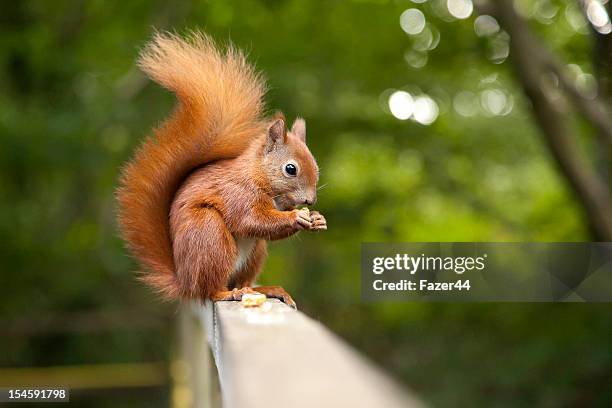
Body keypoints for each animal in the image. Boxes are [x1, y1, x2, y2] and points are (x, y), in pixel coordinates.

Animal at [115, 31, 326, 306]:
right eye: (291, 169)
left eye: (316, 167)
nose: (310, 201)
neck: (258, 175)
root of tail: (185, 282)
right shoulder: (237, 194)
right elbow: (253, 220)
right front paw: (296, 217)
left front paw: (317, 218)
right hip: (210, 235)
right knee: (211, 290)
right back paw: (229, 293)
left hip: (254, 252)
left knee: (242, 279)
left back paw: (264, 289)